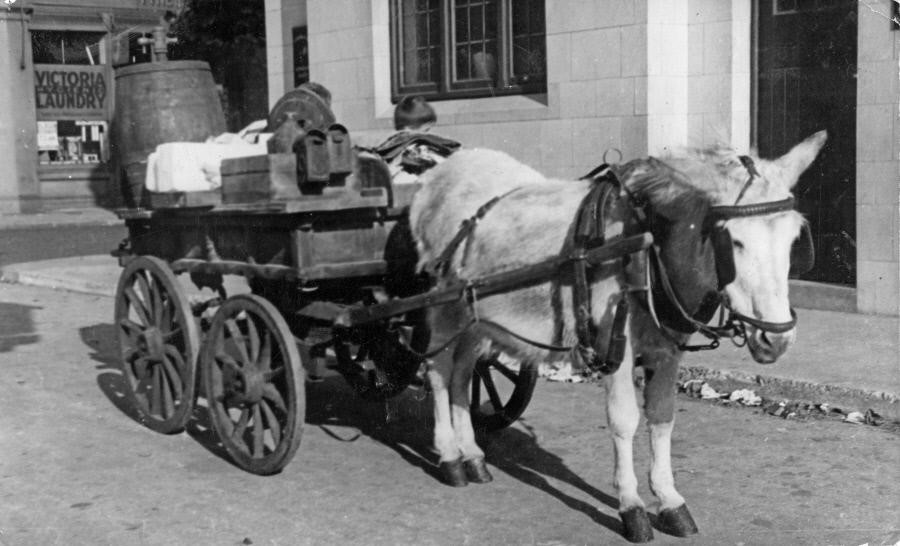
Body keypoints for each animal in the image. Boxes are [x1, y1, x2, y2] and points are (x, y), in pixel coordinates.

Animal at [412, 131, 828, 540]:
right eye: (735, 241)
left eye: (795, 240)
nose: (777, 339)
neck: (648, 241)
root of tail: (438, 175)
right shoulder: (615, 347)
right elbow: (625, 419)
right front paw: (632, 505)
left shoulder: (667, 349)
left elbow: (661, 416)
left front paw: (669, 500)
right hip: (445, 311)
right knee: (439, 374)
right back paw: (450, 457)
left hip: (477, 321)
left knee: (463, 376)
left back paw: (472, 455)